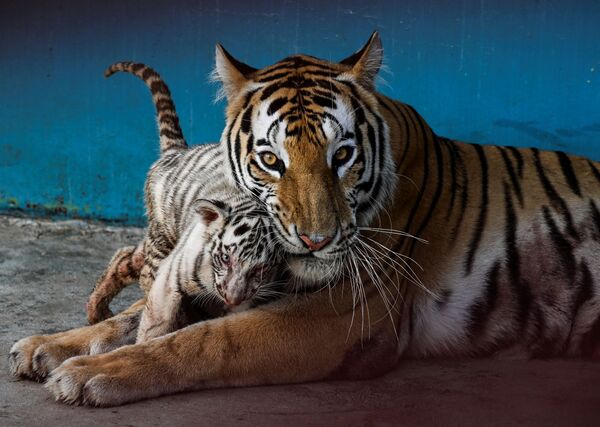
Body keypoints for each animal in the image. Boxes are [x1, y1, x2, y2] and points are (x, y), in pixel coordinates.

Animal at [9, 34, 600, 408]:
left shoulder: (337, 318)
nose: (316, 241)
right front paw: (46, 345)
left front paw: (90, 374)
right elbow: (131, 317)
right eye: (272, 159)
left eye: (343, 155)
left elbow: (208, 340)